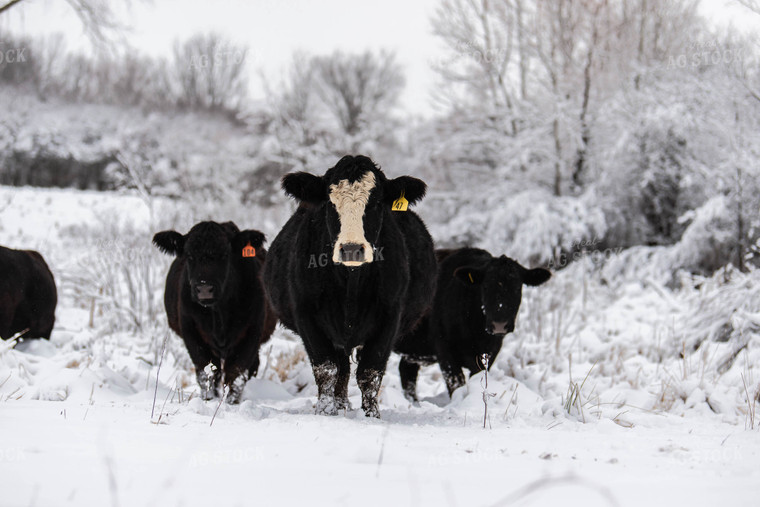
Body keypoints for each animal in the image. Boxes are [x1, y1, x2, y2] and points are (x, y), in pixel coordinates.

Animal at [152, 220, 276, 402]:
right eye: (189, 255)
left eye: (224, 254)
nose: (204, 288)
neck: (219, 316)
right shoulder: (192, 333)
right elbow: (206, 373)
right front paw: (209, 399)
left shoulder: (251, 334)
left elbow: (236, 374)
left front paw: (231, 402)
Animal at [264, 157, 436, 418]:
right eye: (330, 202)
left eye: (376, 203)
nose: (352, 248)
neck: (350, 287)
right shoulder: (307, 316)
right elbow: (326, 369)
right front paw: (325, 412)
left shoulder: (390, 317)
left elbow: (370, 372)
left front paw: (371, 416)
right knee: (341, 370)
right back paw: (339, 406)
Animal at [394, 248, 548, 402]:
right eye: (485, 286)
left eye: (517, 287)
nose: (499, 324)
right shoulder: (445, 351)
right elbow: (456, 384)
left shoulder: (490, 353)